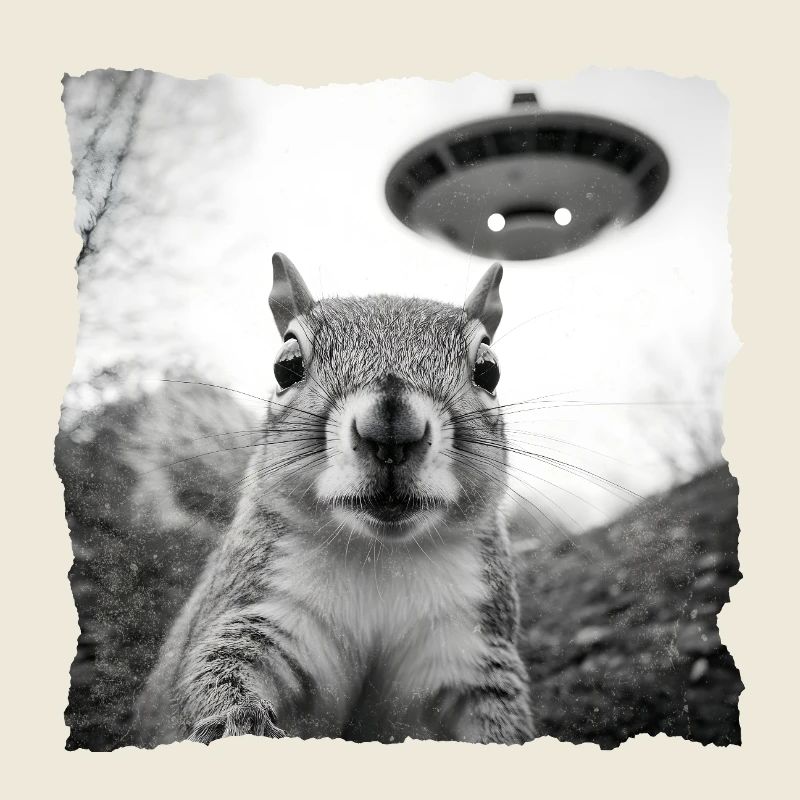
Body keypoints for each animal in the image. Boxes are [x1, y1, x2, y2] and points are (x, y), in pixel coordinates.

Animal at [135, 252, 534, 745]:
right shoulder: (266, 608)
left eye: (489, 370)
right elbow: (221, 664)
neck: (381, 555)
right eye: (286, 366)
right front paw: (237, 722)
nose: (392, 428)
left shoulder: (469, 647)